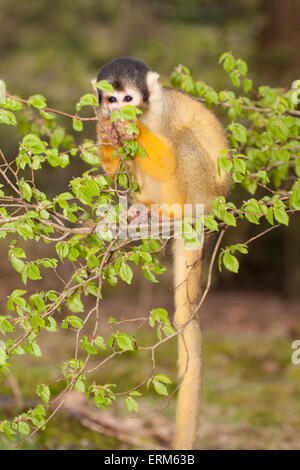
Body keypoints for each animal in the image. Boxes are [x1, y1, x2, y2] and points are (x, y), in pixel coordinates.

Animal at [95, 57, 231, 448]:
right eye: (111, 98)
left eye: (128, 97)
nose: (119, 110)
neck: (148, 110)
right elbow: (118, 162)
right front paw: (108, 133)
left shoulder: (165, 116)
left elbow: (167, 157)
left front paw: (132, 129)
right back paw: (143, 210)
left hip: (205, 194)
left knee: (182, 144)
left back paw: (171, 214)